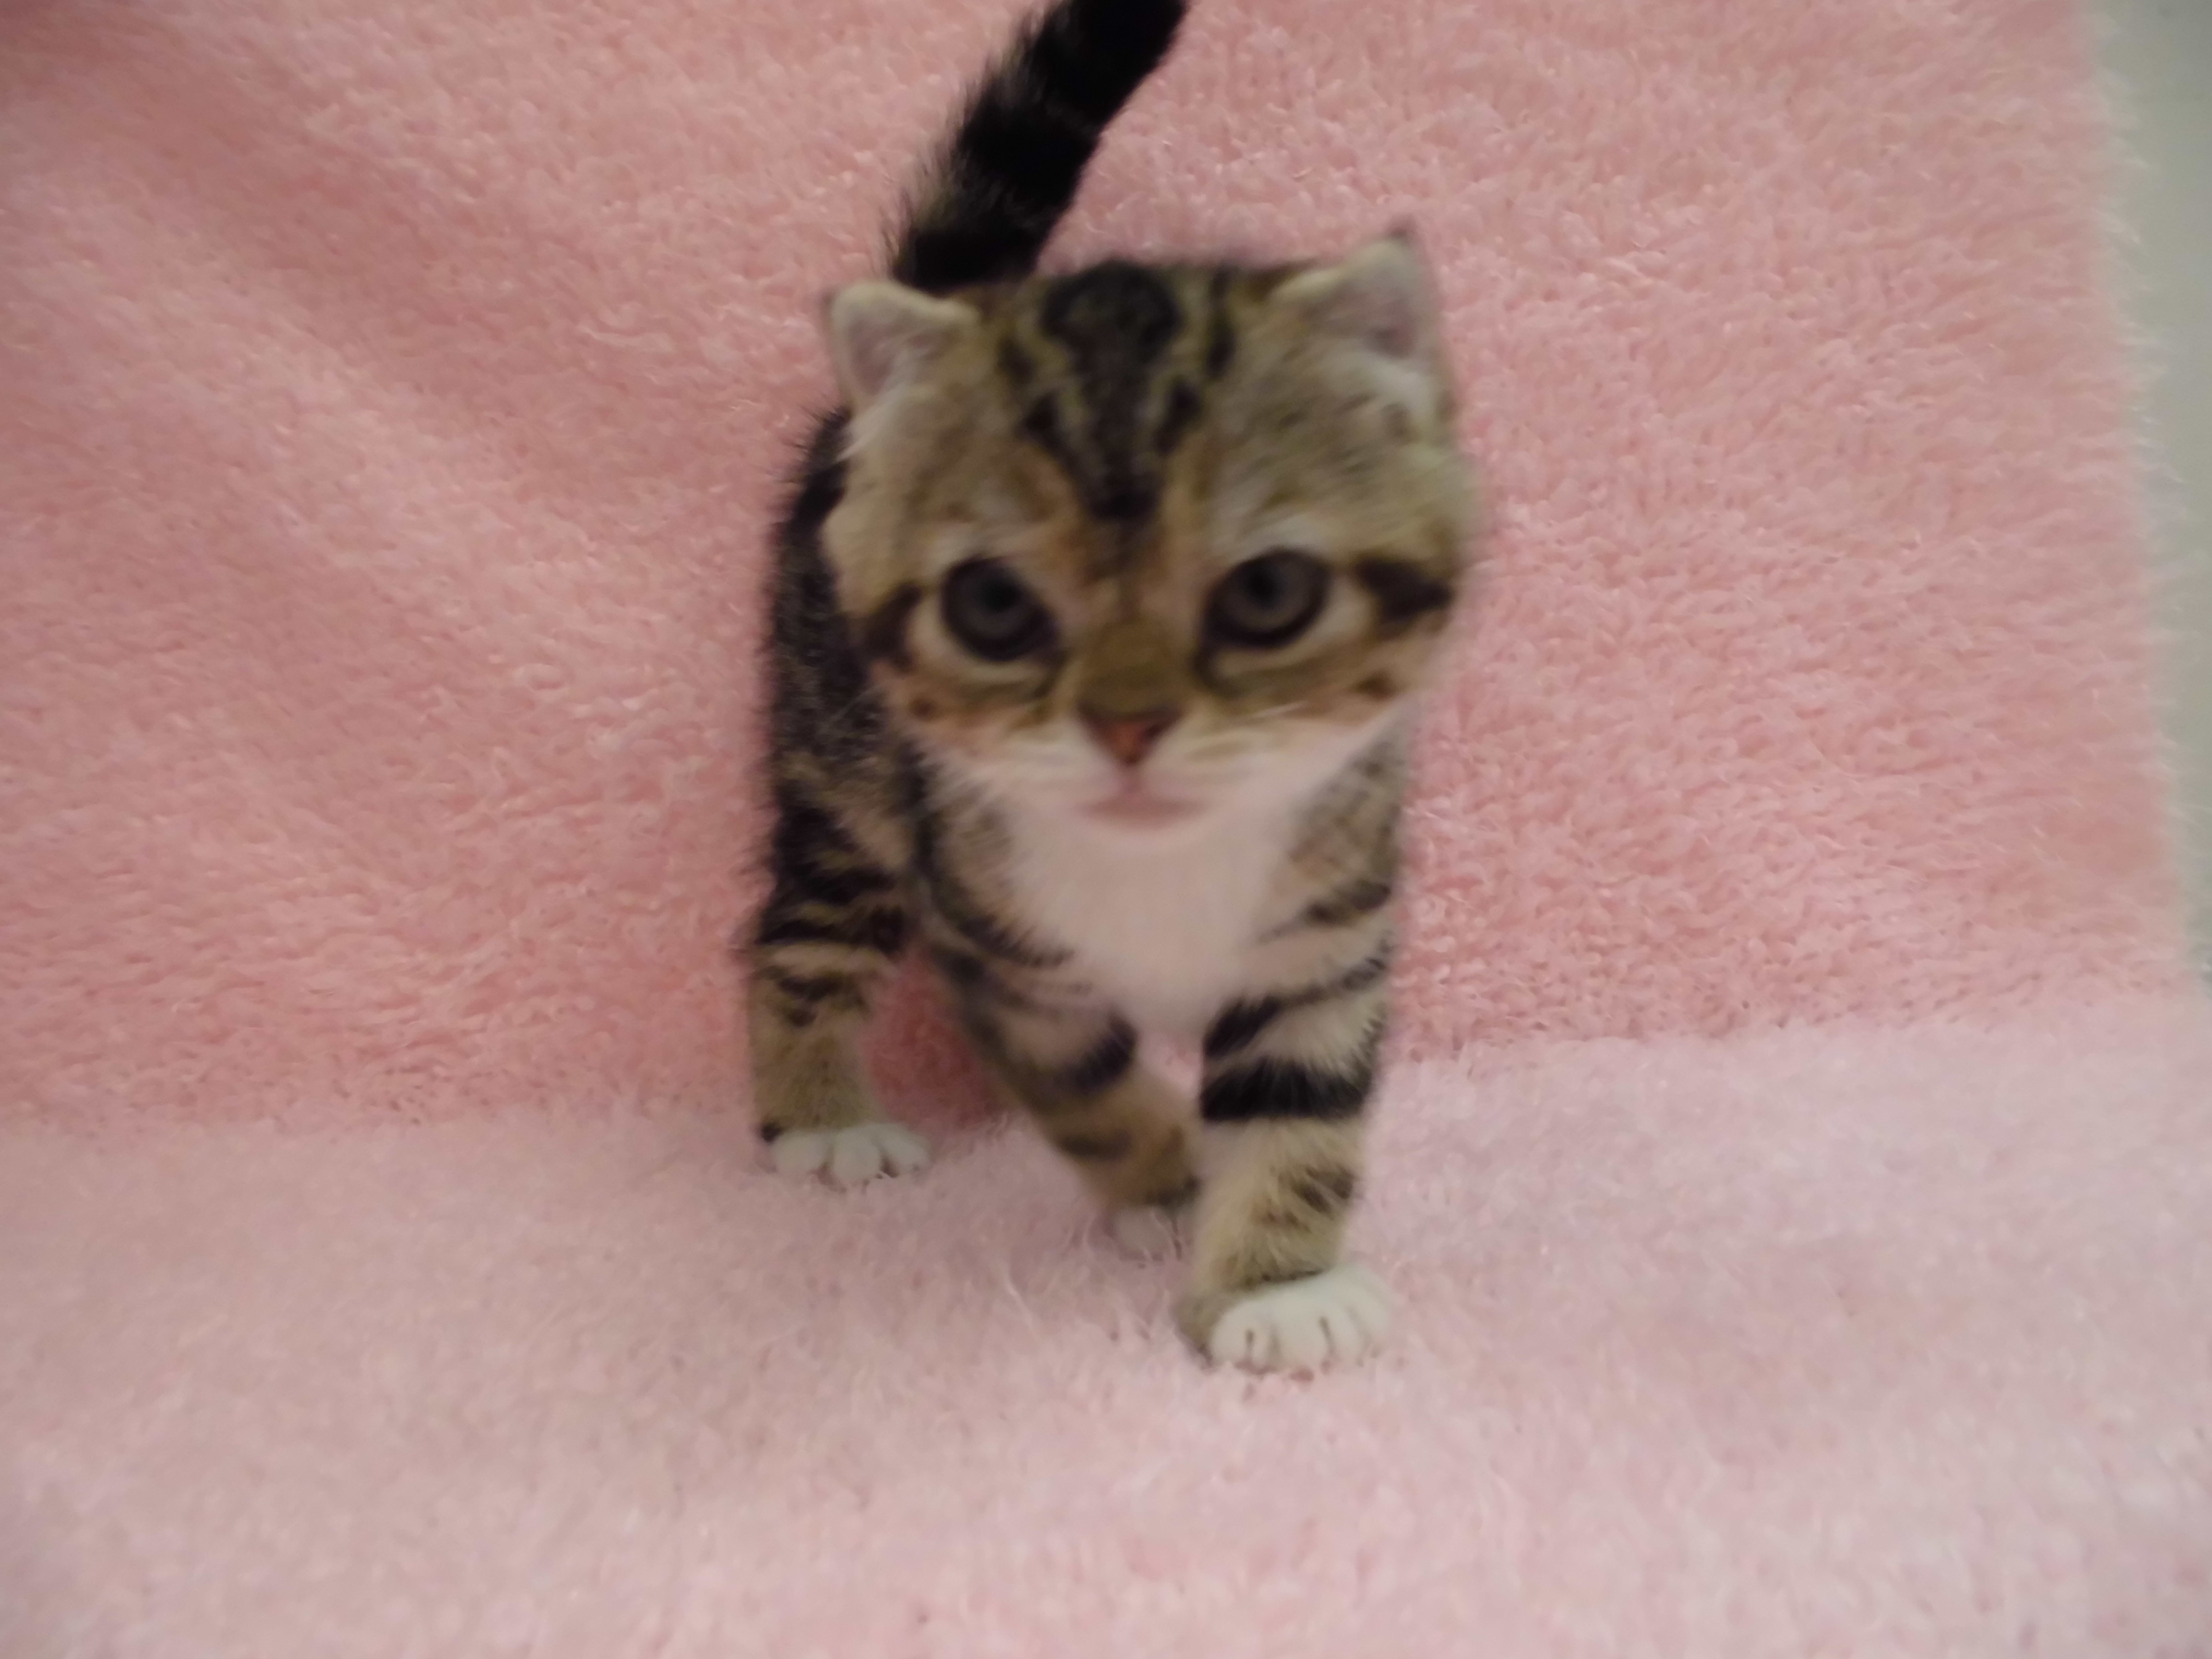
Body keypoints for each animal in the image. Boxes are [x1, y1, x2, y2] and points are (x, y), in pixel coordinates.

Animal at [745, 0, 1475, 1371]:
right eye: (992, 608)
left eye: (1267, 593)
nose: (1129, 722)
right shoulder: (996, 949)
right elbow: (1087, 1089)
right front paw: (1171, 1182)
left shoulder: (1326, 933)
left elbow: (1302, 1103)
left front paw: (1278, 1281)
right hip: (837, 751)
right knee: (802, 931)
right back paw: (817, 1113)